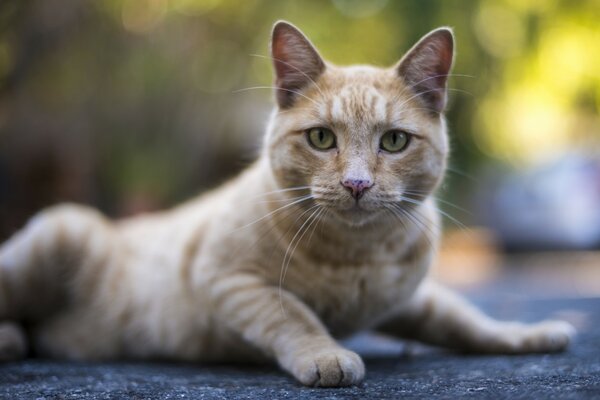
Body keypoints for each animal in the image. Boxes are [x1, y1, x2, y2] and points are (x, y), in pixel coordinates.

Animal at [0, 21, 576, 388]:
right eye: (321, 138)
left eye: (393, 141)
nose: (357, 184)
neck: (358, 254)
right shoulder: (228, 277)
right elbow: (294, 316)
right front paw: (327, 356)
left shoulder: (408, 297)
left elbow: (462, 317)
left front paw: (527, 332)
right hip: (55, 237)